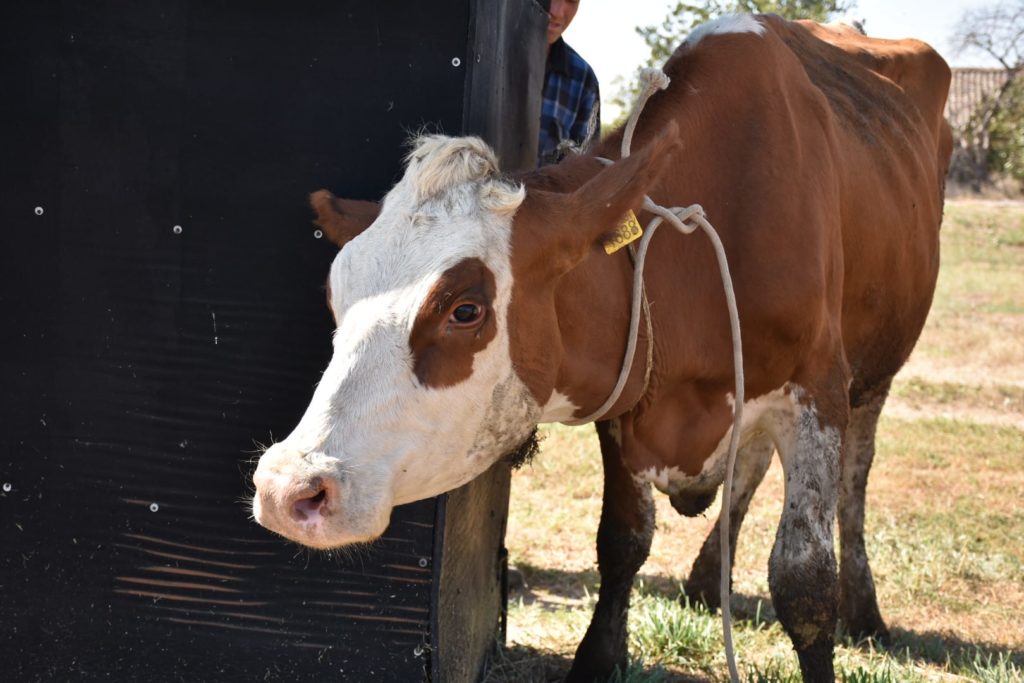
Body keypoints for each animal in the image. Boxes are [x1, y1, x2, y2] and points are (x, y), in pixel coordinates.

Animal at [253, 15, 950, 683]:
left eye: (466, 310)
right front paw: (597, 657)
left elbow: (804, 582)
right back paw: (706, 579)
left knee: (854, 477)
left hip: (875, 377)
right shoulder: (629, 400)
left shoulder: (817, 391)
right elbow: (622, 541)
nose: (287, 489)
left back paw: (865, 608)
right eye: (336, 295)